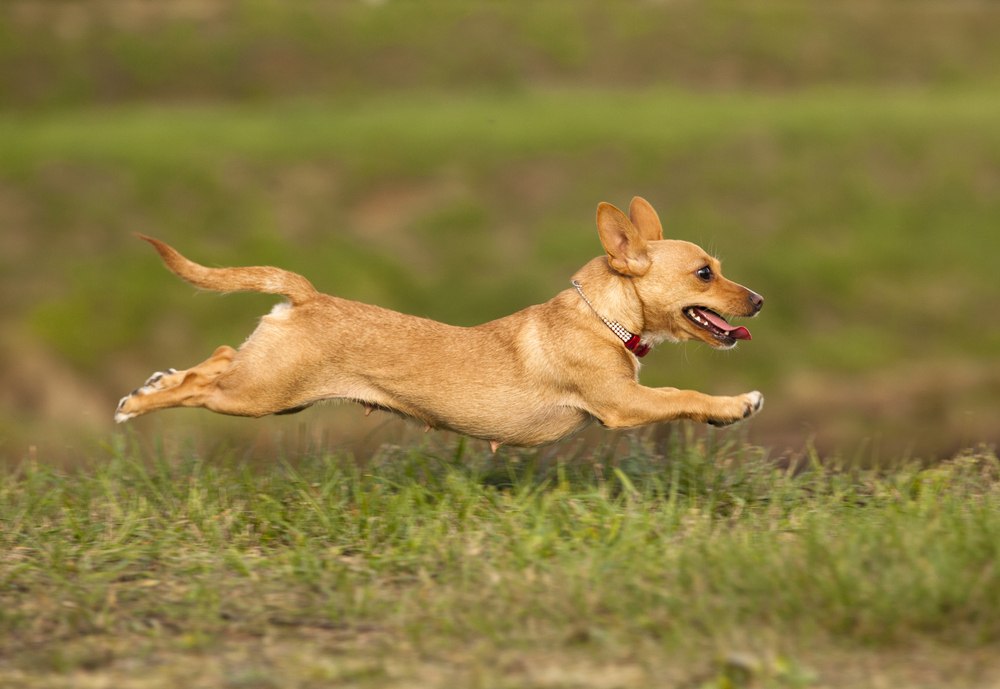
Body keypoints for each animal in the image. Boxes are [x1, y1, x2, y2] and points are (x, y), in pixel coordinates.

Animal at [113, 196, 760, 448]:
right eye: (705, 274)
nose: (757, 301)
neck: (602, 318)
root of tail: (307, 296)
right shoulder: (623, 404)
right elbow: (682, 395)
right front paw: (734, 405)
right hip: (258, 395)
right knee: (204, 385)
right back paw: (139, 402)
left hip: (270, 389)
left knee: (220, 356)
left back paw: (157, 381)